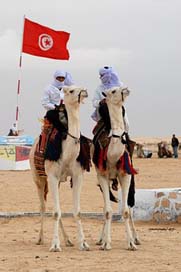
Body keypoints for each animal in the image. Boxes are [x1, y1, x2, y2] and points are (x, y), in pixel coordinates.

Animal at [29, 86, 90, 252]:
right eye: (71, 90)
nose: (84, 91)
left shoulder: (77, 176)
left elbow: (77, 211)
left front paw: (83, 243)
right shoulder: (52, 176)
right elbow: (56, 212)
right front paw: (55, 245)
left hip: (56, 181)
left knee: (56, 207)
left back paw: (68, 240)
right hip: (38, 178)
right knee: (43, 206)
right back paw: (40, 238)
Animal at [92, 87, 140, 251]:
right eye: (113, 91)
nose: (126, 89)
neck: (112, 154)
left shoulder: (126, 176)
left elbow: (125, 210)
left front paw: (131, 243)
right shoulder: (102, 176)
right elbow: (108, 211)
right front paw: (106, 243)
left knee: (130, 207)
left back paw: (136, 238)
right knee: (105, 208)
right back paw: (101, 239)